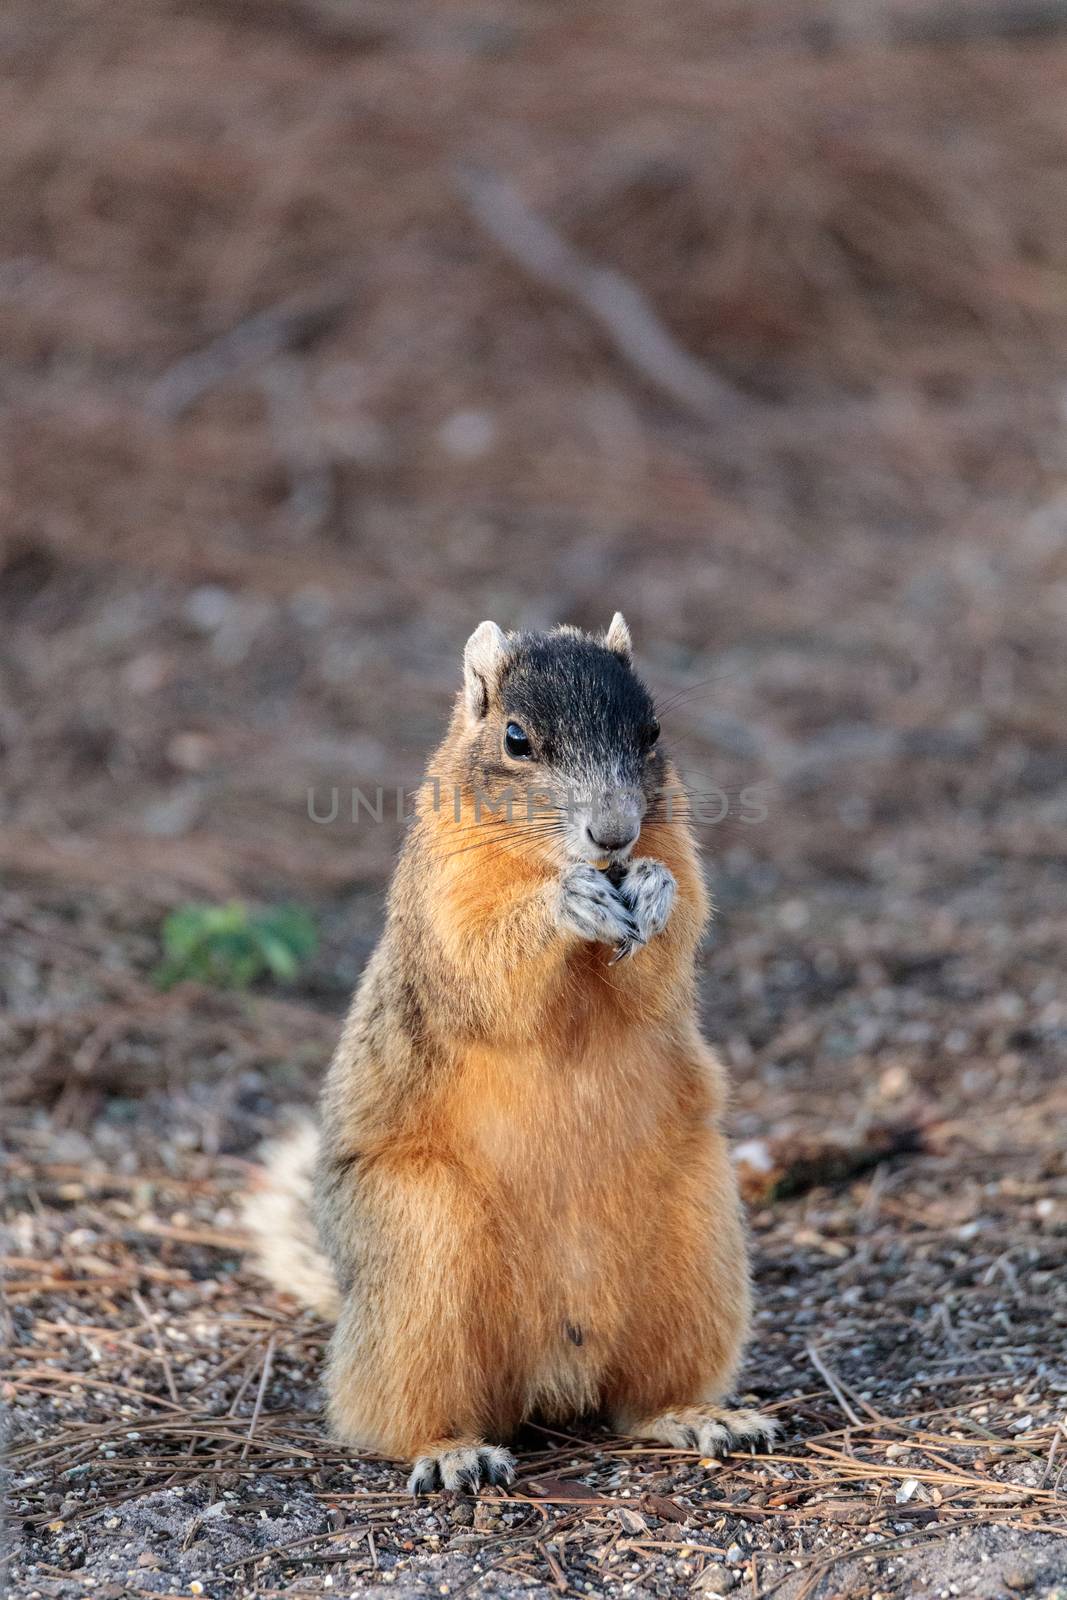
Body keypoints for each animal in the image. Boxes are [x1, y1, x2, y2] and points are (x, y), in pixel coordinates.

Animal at [247, 617, 777, 1491]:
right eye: (516, 739)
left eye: (651, 731)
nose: (613, 834)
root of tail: (554, 1375)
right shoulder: (446, 896)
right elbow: (488, 969)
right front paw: (565, 903)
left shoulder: (676, 857)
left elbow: (663, 963)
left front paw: (654, 892)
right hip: (421, 1256)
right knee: (391, 1410)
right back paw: (450, 1453)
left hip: (699, 1248)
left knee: (638, 1400)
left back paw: (699, 1417)